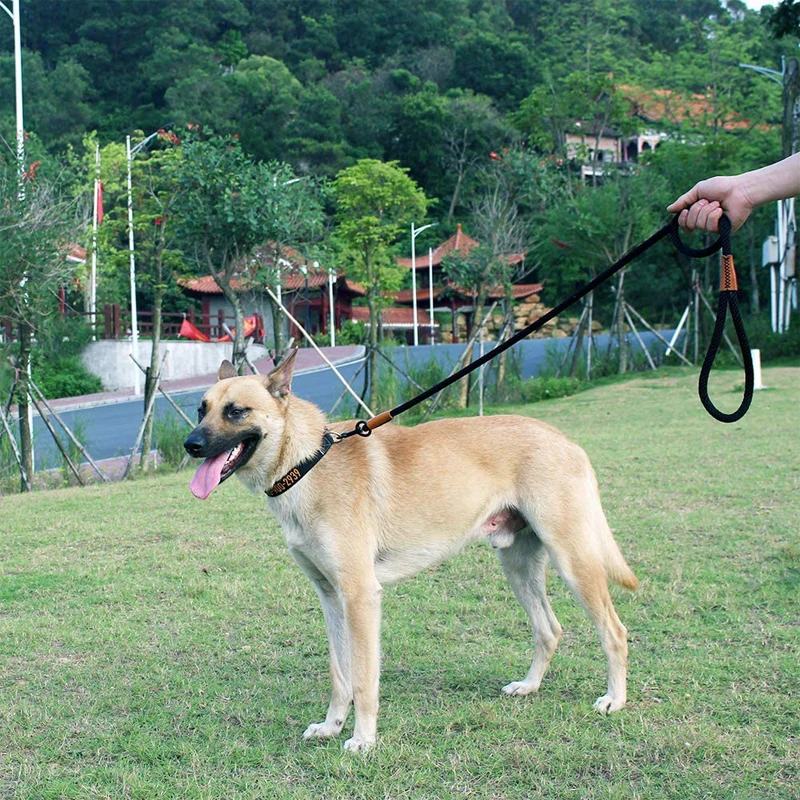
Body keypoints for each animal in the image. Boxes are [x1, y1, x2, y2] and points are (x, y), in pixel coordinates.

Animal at [186, 354, 636, 752]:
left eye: (236, 411)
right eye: (200, 409)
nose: (191, 445)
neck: (306, 463)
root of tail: (566, 441)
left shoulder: (360, 597)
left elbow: (363, 678)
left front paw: (363, 739)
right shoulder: (330, 598)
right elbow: (339, 673)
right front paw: (332, 726)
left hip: (573, 562)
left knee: (614, 632)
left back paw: (615, 700)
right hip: (518, 566)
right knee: (549, 629)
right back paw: (529, 686)